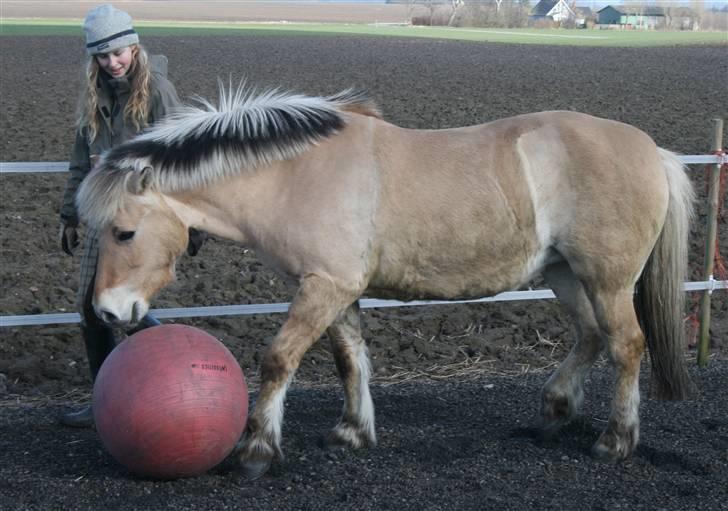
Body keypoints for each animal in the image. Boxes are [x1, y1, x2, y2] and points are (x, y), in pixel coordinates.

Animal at [74, 84, 692, 480]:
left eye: (124, 232)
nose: (108, 310)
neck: (295, 173)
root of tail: (652, 150)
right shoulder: (338, 289)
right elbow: (350, 360)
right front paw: (352, 432)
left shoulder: (323, 287)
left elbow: (278, 360)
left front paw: (257, 449)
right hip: (566, 274)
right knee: (590, 337)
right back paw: (555, 412)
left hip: (608, 280)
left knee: (626, 345)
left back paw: (615, 440)